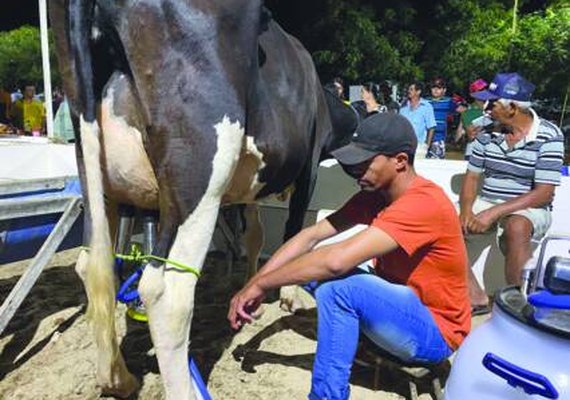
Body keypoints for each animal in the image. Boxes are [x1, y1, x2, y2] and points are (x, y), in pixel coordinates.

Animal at [48, 0, 356, 400]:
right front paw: (290, 296)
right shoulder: (309, 166)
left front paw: (251, 284)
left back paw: (118, 378)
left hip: (95, 171)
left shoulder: (248, 188)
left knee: (93, 266)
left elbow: (254, 235)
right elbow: (293, 231)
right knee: (166, 292)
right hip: (200, 168)